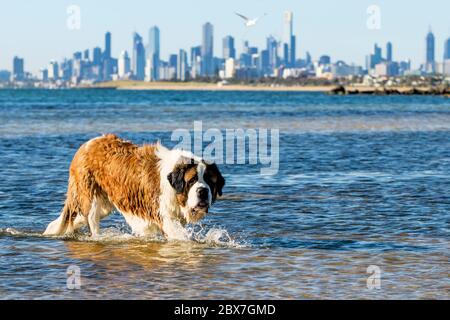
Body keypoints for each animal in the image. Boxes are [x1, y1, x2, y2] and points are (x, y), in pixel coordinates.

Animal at [43, 133, 224, 240]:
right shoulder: (165, 218)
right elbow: (181, 237)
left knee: (76, 218)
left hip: (102, 204)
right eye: (192, 180)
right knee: (91, 220)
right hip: (91, 198)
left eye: (210, 181)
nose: (203, 191)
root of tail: (86, 145)